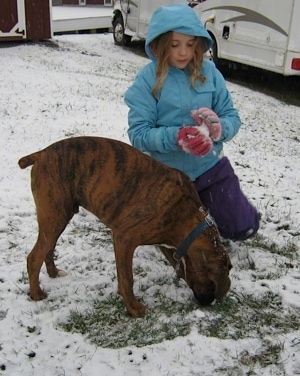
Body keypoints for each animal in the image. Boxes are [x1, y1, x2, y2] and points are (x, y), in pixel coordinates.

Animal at [18, 136, 232, 318]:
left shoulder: (167, 244)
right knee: (34, 258)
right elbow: (127, 278)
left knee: (47, 249)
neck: (187, 215)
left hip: (57, 220)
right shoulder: (124, 239)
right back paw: (36, 294)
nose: (208, 303)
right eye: (213, 286)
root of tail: (41, 153)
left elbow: (179, 267)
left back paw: (54, 273)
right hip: (55, 218)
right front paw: (134, 308)